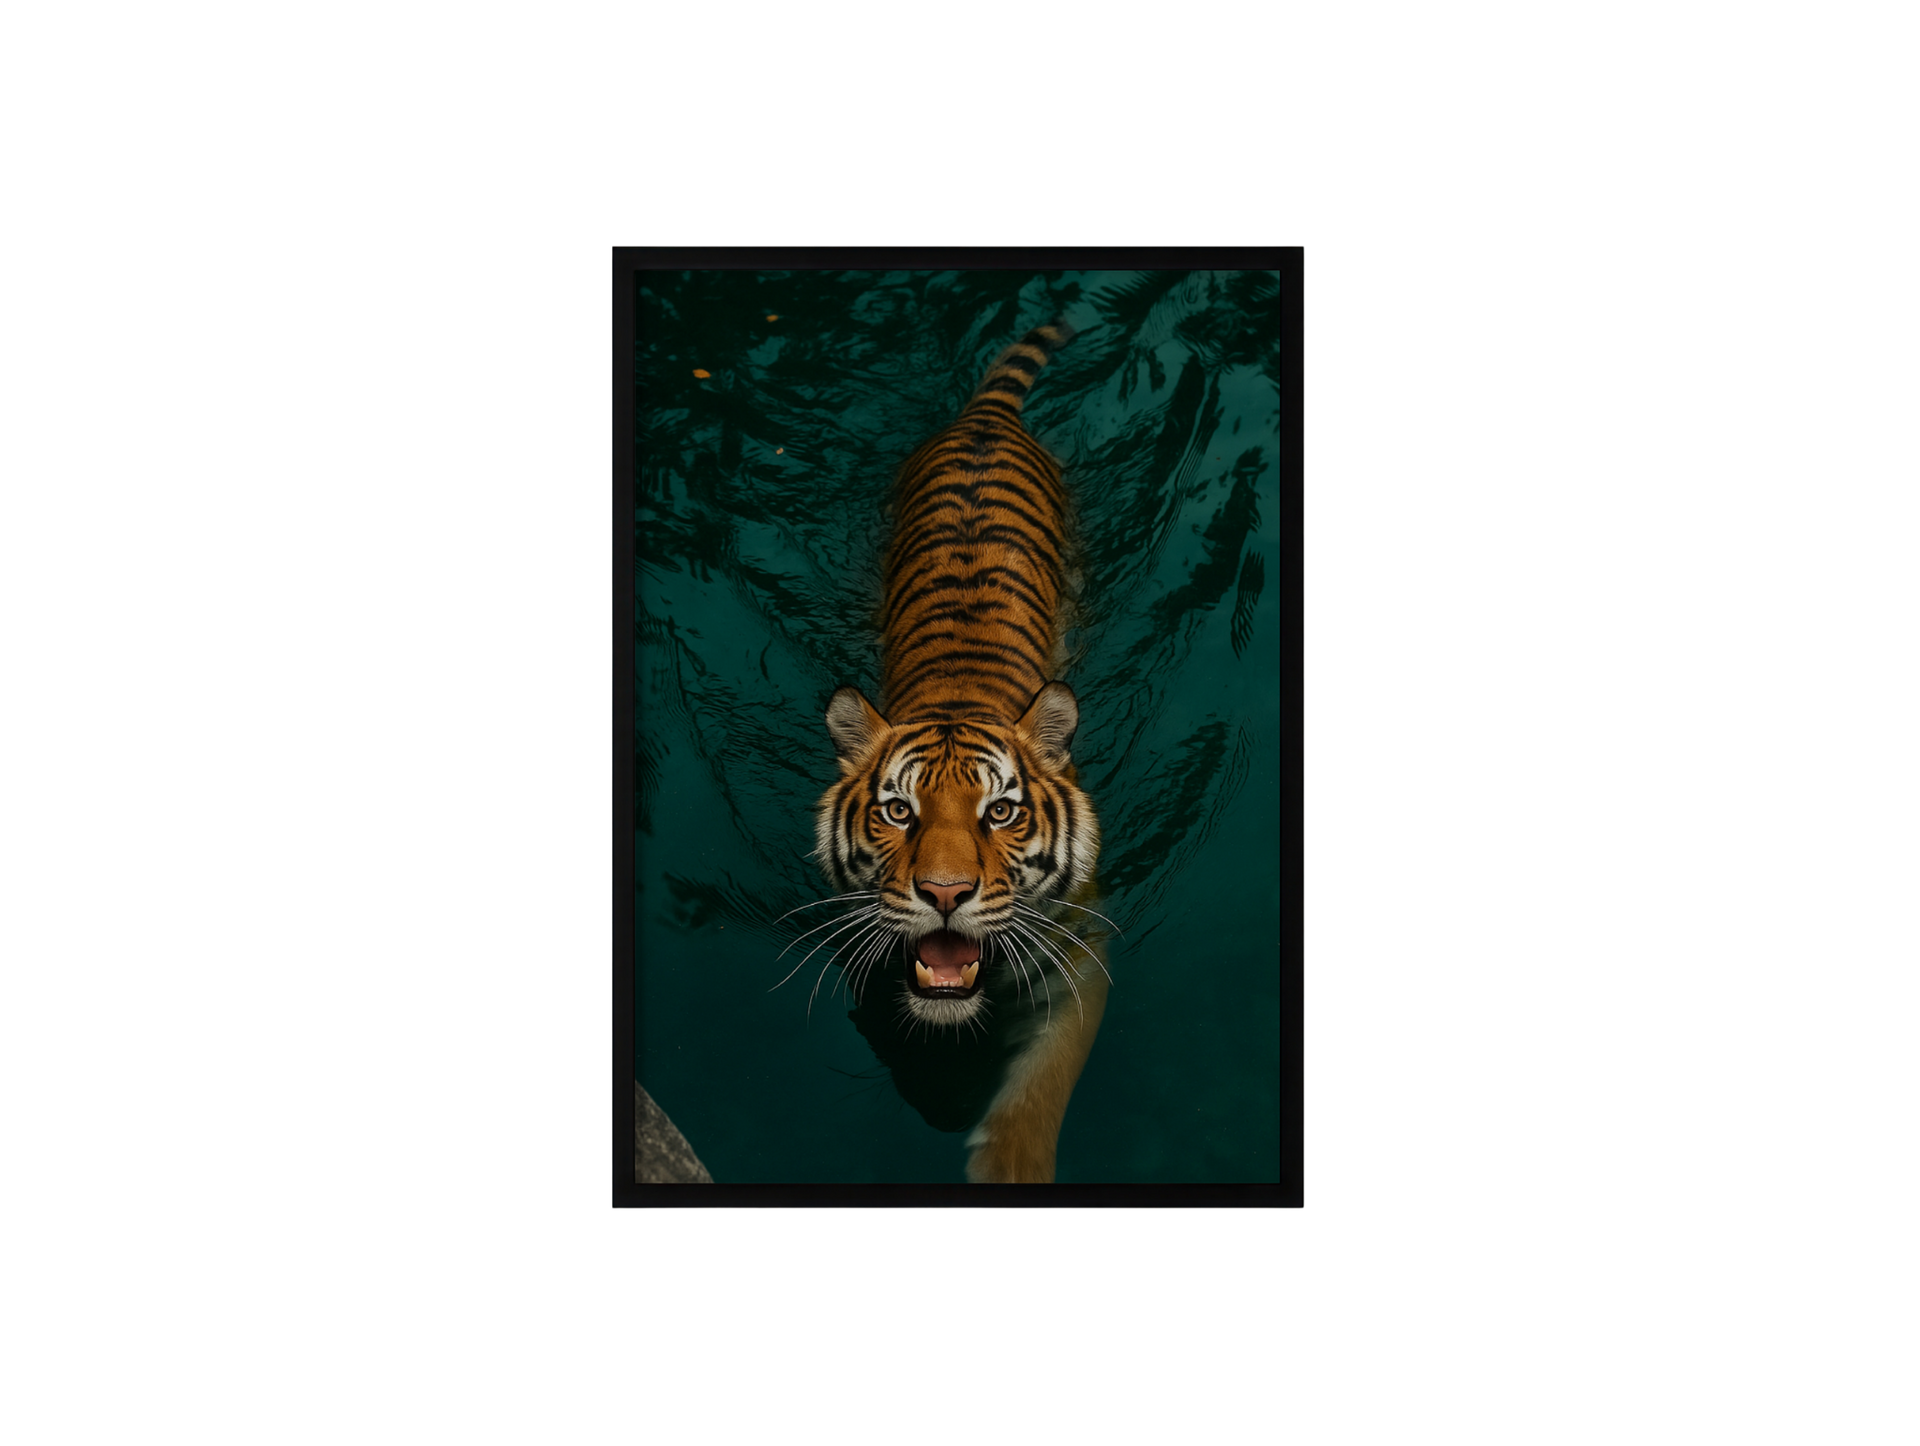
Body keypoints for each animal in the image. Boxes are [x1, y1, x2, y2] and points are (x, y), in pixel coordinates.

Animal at [808, 320, 1110, 1184]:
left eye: (1001, 812)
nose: (945, 893)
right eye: (897, 811)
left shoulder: (1080, 949)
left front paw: (1012, 1166)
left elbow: (1052, 1071)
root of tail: (986, 418)